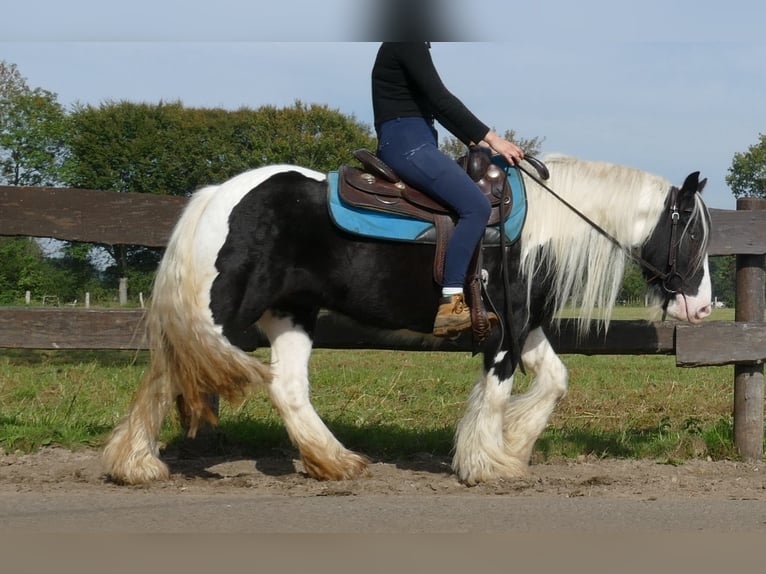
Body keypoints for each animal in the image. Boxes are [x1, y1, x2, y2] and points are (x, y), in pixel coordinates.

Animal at [102, 153, 712, 486]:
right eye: (693, 234)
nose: (702, 307)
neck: (541, 229)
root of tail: (217, 194)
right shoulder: (506, 329)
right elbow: (496, 390)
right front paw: (484, 463)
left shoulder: (527, 325)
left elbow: (554, 381)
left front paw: (513, 445)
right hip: (223, 314)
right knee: (170, 373)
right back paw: (137, 464)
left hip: (291, 314)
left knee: (287, 388)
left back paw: (335, 462)